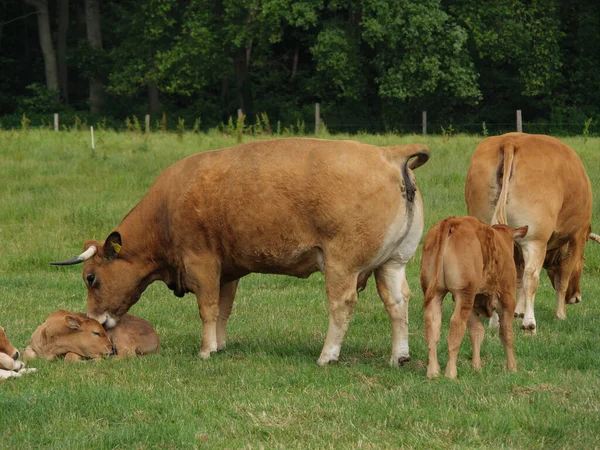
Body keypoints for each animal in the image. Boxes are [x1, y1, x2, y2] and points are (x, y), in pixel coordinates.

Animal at [49, 137, 428, 366]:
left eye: (91, 278)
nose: (96, 319)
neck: (167, 208)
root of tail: (389, 153)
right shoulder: (227, 271)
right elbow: (222, 311)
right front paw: (219, 345)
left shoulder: (201, 263)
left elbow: (207, 308)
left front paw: (205, 351)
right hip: (392, 264)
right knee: (398, 303)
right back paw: (399, 356)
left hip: (341, 266)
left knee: (341, 305)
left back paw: (327, 355)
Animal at [420, 216, 528, 378]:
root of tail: (453, 221)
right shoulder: (507, 298)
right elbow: (506, 333)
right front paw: (512, 367)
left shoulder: (474, 304)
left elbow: (476, 332)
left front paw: (476, 366)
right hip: (464, 294)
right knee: (456, 325)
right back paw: (450, 373)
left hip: (435, 293)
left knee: (432, 325)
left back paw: (433, 371)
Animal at [464, 132, 596, 332]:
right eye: (584, 260)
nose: (577, 298)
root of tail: (510, 141)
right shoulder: (577, 237)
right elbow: (562, 278)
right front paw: (560, 315)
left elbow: (517, 275)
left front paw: (517, 311)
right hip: (534, 240)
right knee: (531, 277)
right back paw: (529, 324)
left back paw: (495, 322)